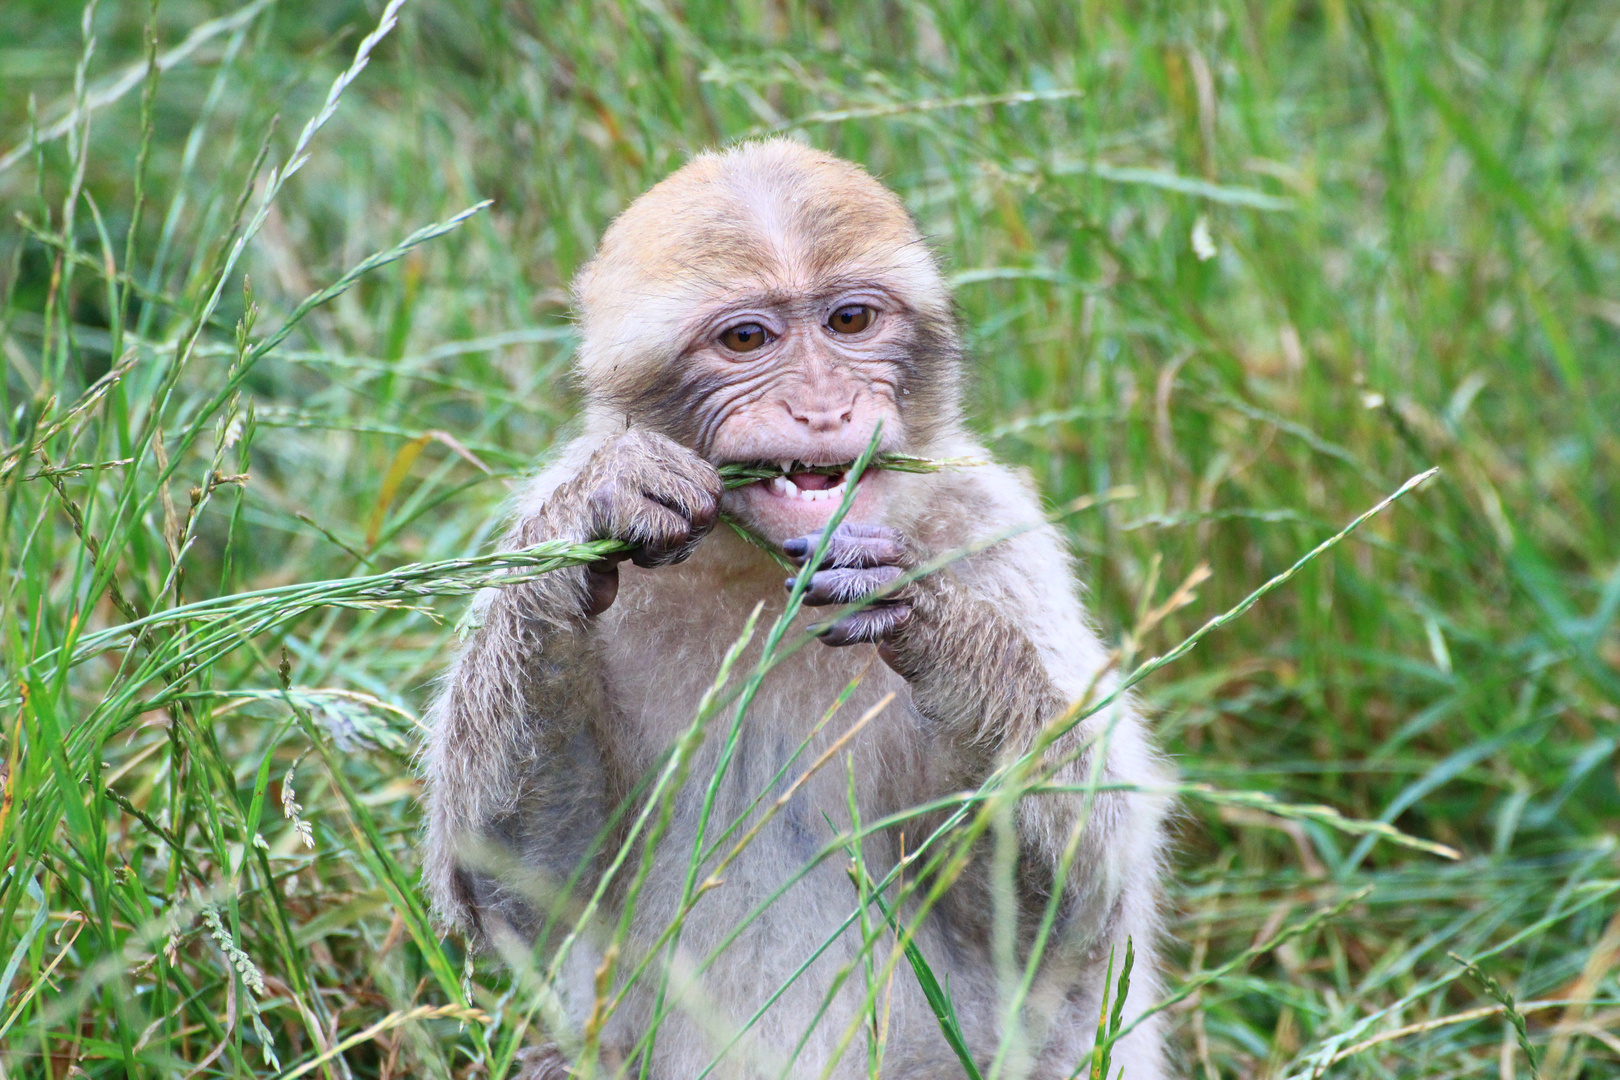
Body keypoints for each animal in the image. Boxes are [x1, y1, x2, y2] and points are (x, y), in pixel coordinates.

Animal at [424, 143, 1172, 1080]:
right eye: (748, 338)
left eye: (850, 320)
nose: (825, 407)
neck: (760, 570)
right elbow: (520, 879)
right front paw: (599, 505)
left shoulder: (995, 534)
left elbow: (1071, 906)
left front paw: (940, 630)